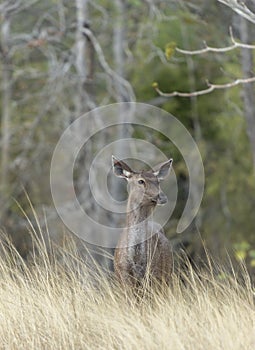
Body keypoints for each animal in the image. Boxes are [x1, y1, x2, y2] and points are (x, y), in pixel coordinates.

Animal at [112, 155, 173, 290]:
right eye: (141, 181)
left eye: (158, 181)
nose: (162, 197)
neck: (136, 259)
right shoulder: (123, 275)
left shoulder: (154, 273)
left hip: (167, 275)